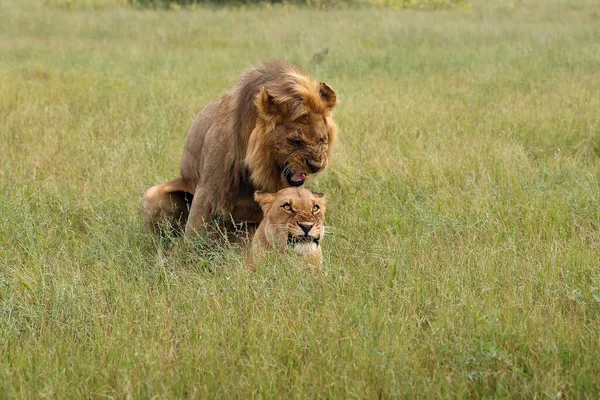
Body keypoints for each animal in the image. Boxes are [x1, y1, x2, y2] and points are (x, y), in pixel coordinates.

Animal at [141, 60, 338, 238]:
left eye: (322, 139)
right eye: (295, 141)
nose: (316, 166)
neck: (255, 162)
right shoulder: (206, 190)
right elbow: (193, 233)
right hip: (152, 196)